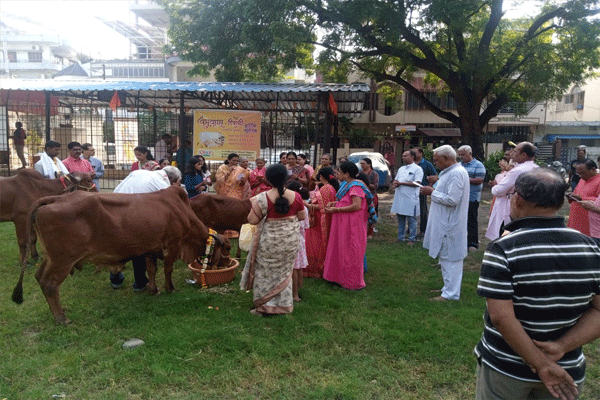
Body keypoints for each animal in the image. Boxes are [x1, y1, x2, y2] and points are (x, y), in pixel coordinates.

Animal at [11, 185, 223, 324]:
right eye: (225, 250)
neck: (181, 210)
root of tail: (55, 198)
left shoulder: (150, 249)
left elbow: (151, 270)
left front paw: (153, 290)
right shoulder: (172, 245)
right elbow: (168, 270)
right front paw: (170, 289)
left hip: (51, 258)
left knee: (39, 277)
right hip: (62, 260)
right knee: (50, 284)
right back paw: (61, 318)